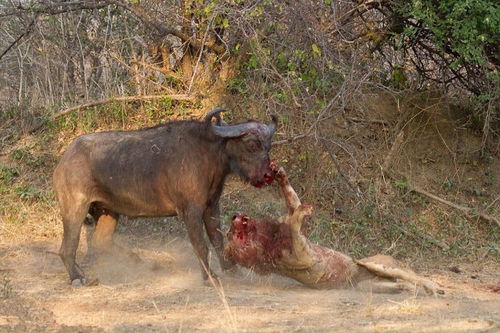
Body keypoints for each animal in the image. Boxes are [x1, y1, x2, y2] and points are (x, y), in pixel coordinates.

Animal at [53, 109, 278, 286]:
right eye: (252, 144)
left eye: (268, 146)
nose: (268, 175)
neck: (209, 153)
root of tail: (65, 159)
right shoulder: (190, 210)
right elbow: (200, 243)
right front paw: (209, 277)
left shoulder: (212, 205)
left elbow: (217, 239)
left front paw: (231, 270)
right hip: (75, 208)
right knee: (67, 247)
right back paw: (77, 277)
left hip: (109, 210)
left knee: (101, 241)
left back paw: (139, 261)